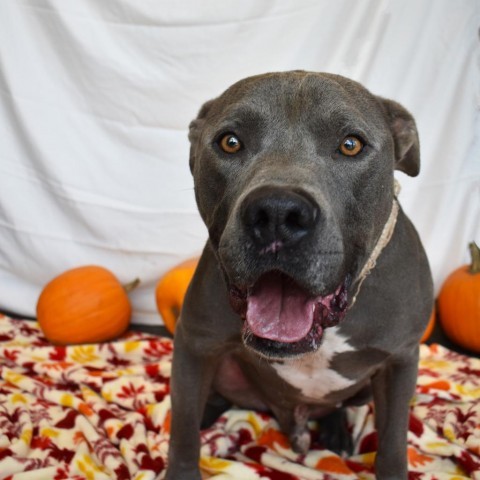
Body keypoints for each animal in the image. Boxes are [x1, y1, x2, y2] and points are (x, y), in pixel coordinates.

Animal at [164, 72, 432, 480]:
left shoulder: (400, 361)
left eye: (351, 145)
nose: (277, 212)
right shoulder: (195, 343)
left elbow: (392, 446)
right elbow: (183, 429)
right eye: (230, 142)